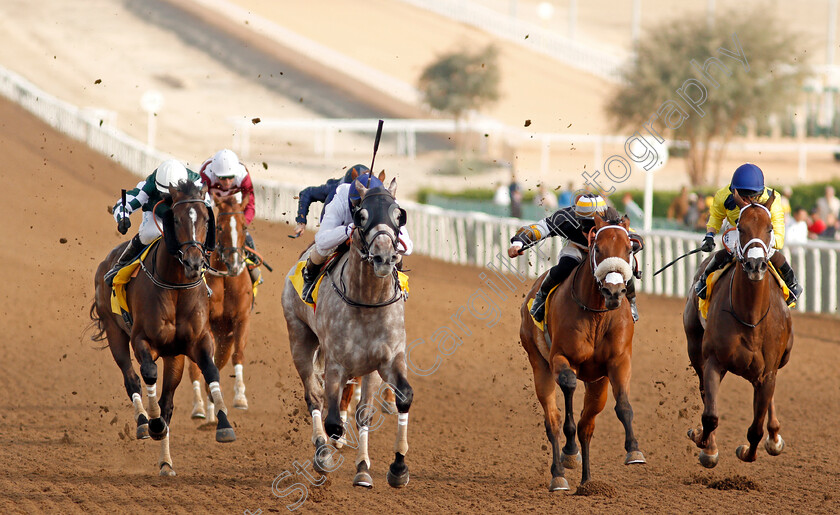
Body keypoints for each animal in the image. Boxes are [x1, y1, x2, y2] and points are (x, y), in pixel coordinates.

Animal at [91, 179, 236, 478]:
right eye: (176, 218)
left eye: (206, 219)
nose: (194, 263)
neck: (176, 287)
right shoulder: (141, 340)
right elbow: (147, 374)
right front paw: (153, 422)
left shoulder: (197, 341)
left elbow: (210, 370)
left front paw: (224, 424)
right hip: (114, 333)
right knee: (131, 378)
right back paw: (143, 422)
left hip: (174, 356)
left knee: (167, 401)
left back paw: (166, 463)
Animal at [189, 191, 254, 422]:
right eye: (220, 228)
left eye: (244, 227)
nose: (234, 264)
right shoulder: (204, 323)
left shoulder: (241, 319)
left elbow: (238, 355)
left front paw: (241, 397)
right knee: (195, 368)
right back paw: (200, 408)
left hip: (224, 337)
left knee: (219, 361)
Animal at [282, 177, 414, 488]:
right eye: (361, 216)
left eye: (398, 215)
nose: (384, 257)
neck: (367, 301)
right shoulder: (336, 363)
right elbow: (332, 420)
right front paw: (328, 454)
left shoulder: (386, 360)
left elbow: (398, 399)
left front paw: (392, 467)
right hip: (299, 338)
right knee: (314, 397)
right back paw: (322, 451)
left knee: (358, 410)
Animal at [520, 209, 644, 492]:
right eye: (598, 248)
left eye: (629, 248)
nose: (614, 291)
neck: (597, 313)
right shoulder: (561, 358)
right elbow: (567, 391)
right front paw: (569, 452)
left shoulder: (618, 362)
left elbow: (623, 406)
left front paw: (633, 450)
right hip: (538, 364)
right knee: (552, 420)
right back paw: (559, 475)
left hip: (598, 384)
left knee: (587, 425)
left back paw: (587, 483)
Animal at [684, 191, 796, 470]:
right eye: (741, 227)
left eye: (769, 228)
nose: (756, 265)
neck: (751, 317)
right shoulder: (714, 360)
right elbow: (710, 415)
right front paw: (706, 445)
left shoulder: (768, 371)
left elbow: (755, 429)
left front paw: (749, 450)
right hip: (694, 347)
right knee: (705, 393)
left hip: (782, 358)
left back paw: (774, 438)